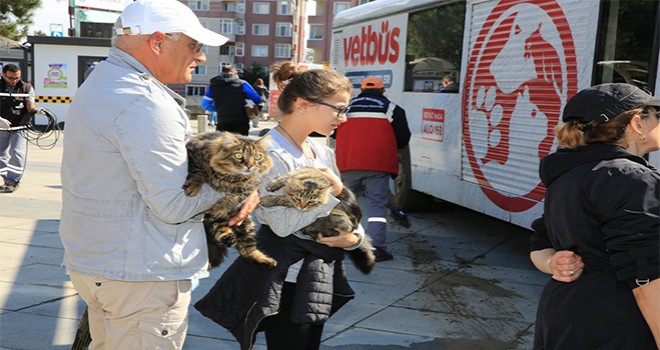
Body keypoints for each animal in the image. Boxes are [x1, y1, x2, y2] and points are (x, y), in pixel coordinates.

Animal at [184, 130, 278, 270]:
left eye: (257, 157)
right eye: (238, 155)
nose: (250, 165)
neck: (231, 178)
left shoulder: (251, 187)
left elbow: (237, 196)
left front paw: (222, 204)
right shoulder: (193, 154)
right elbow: (198, 172)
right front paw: (192, 187)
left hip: (245, 224)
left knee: (246, 249)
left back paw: (265, 260)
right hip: (218, 221)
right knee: (222, 231)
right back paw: (228, 238)